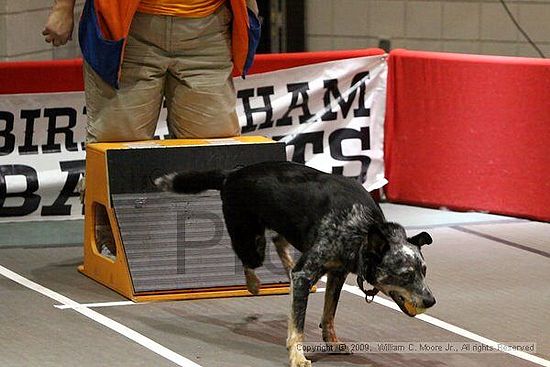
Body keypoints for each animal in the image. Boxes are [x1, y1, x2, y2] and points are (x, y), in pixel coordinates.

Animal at [155, 162, 436, 367]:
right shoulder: (305, 274)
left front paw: (332, 342)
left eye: (423, 271)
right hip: (252, 243)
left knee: (279, 240)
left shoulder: (337, 273)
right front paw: (298, 356)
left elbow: (329, 314)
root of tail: (232, 173)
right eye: (405, 275)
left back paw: (286, 262)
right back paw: (254, 283)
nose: (431, 300)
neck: (360, 228)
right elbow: (298, 325)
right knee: (249, 260)